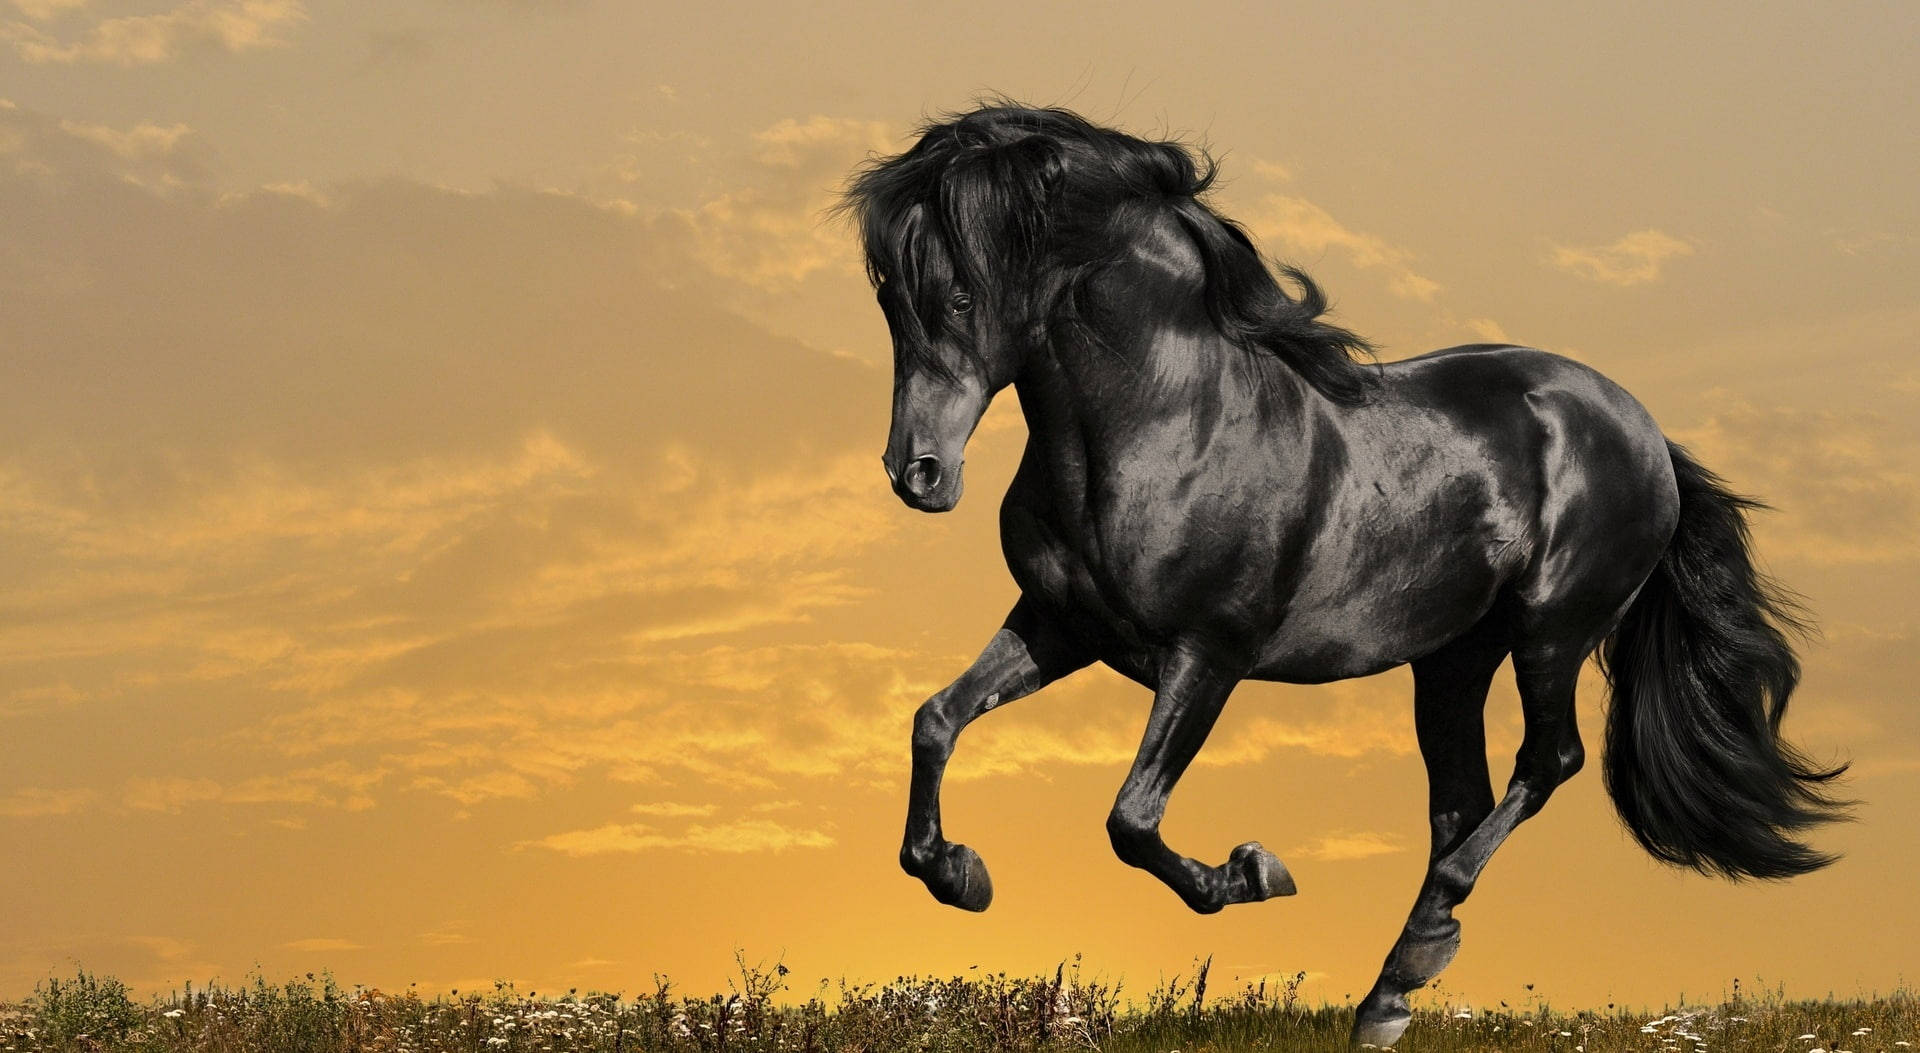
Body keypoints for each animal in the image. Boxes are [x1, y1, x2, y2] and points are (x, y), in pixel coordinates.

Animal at [840, 102, 1848, 1047]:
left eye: (961, 296)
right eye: (888, 298)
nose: (917, 473)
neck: (1167, 424)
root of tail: (1643, 432)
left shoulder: (1208, 655)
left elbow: (1132, 819)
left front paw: (1253, 871)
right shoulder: (1061, 626)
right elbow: (936, 720)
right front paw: (960, 874)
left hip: (1551, 633)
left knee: (1546, 761)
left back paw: (1414, 955)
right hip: (1452, 660)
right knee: (1461, 801)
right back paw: (1389, 996)